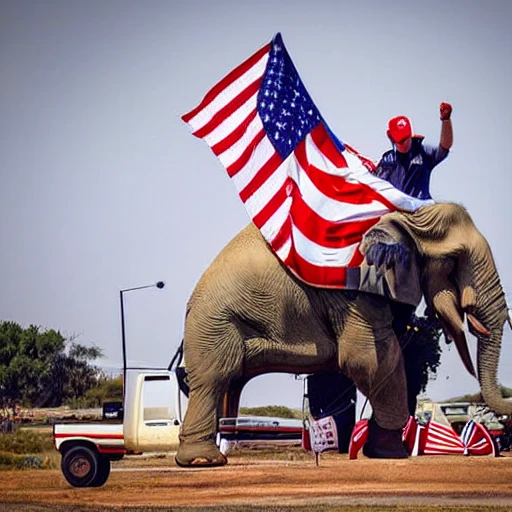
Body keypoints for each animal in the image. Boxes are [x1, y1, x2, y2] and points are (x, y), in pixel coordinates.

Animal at [174, 202, 510, 466]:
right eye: (453, 260)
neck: (401, 215)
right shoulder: (354, 284)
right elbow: (369, 359)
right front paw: (393, 454)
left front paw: (383, 452)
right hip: (215, 323)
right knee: (215, 377)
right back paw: (203, 461)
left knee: (224, 381)